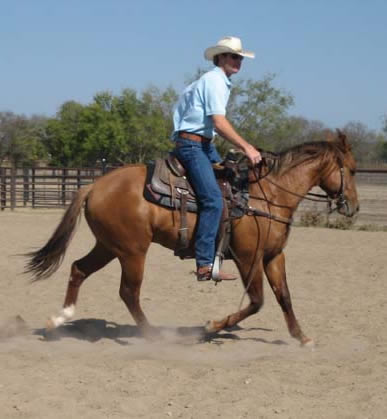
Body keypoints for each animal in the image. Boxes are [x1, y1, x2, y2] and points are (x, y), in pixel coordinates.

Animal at [25, 132, 360, 348]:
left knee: (79, 269)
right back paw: (154, 336)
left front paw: (302, 337)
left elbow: (284, 297)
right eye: (353, 170)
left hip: (109, 246)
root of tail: (94, 186)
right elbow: (257, 301)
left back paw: (59, 319)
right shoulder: (248, 257)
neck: (269, 194)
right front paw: (211, 326)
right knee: (129, 292)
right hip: (133, 251)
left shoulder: (273, 256)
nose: (354, 208)